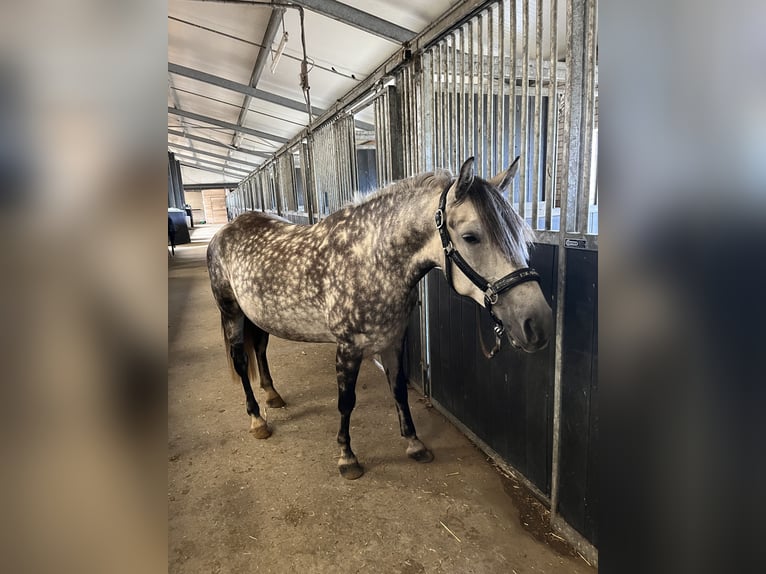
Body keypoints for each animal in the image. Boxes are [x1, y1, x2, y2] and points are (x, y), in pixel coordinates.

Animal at [207, 158, 556, 482]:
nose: (538, 323)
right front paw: (347, 457)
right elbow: (346, 401)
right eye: (471, 237)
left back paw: (273, 396)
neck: (370, 260)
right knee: (241, 362)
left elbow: (398, 389)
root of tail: (223, 233)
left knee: (260, 351)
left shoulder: (393, 340)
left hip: (257, 317)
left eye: (519, 234)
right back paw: (258, 420)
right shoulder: (347, 348)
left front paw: (414, 443)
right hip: (232, 314)